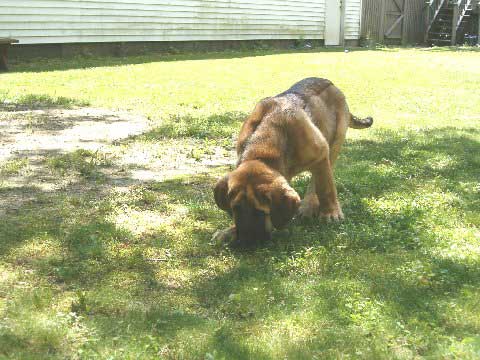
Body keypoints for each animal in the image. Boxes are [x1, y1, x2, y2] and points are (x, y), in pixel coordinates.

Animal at [212, 78, 374, 248]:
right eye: (235, 209)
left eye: (261, 212)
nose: (245, 244)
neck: (262, 153)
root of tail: (330, 83)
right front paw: (229, 230)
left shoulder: (321, 153)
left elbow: (326, 188)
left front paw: (331, 213)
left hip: (334, 143)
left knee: (317, 181)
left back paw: (309, 205)